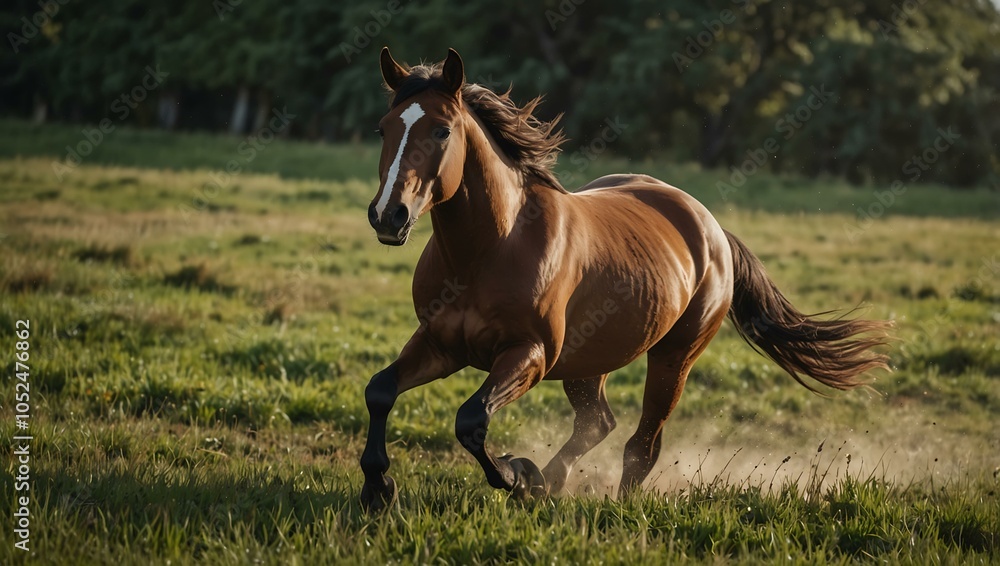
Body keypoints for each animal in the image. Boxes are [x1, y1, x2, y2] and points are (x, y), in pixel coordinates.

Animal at [359, 47, 891, 512]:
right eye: (383, 128)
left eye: (442, 130)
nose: (388, 216)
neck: (491, 249)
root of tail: (711, 228)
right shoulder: (441, 343)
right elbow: (380, 390)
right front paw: (377, 488)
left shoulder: (529, 354)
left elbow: (471, 419)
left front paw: (517, 476)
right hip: (586, 361)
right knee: (598, 423)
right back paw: (552, 481)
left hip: (673, 357)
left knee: (642, 444)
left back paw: (605, 501)